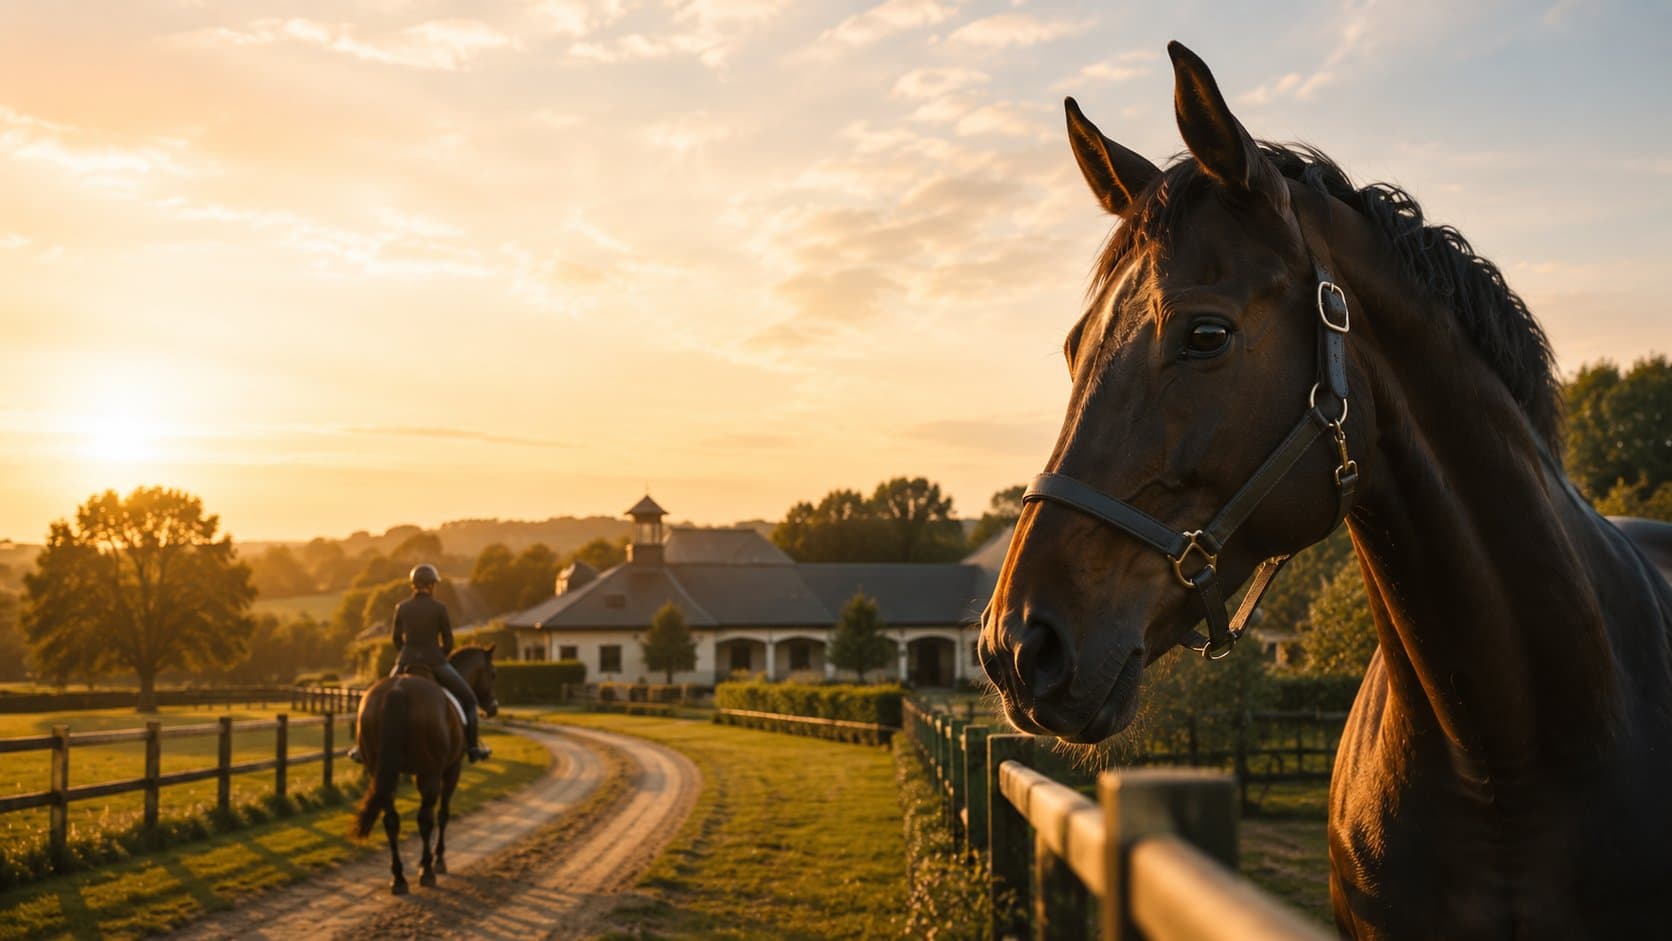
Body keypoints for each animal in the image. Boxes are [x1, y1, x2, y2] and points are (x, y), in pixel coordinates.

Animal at [352, 644, 500, 895]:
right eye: (492, 674)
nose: (493, 708)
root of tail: (397, 692)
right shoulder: (452, 770)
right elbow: (443, 814)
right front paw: (437, 860)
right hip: (430, 773)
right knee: (426, 819)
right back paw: (428, 871)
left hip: (382, 772)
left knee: (391, 821)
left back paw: (399, 878)